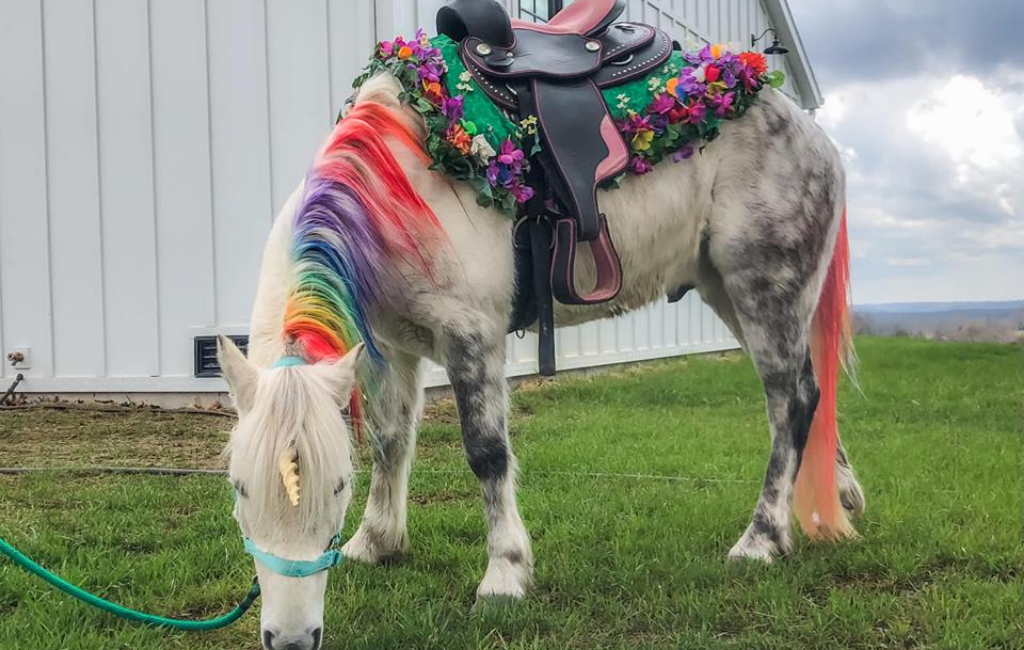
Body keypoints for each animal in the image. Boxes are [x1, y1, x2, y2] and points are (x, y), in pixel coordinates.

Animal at [216, 63, 864, 646]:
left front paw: (504, 575)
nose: (290, 638)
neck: (399, 188)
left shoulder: (471, 336)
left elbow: (487, 454)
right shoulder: (389, 350)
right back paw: (837, 498)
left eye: (335, 488)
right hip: (726, 289)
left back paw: (762, 539)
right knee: (808, 392)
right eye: (239, 489)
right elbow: (390, 442)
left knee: (788, 402)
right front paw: (375, 543)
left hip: (764, 288)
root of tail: (817, 143)